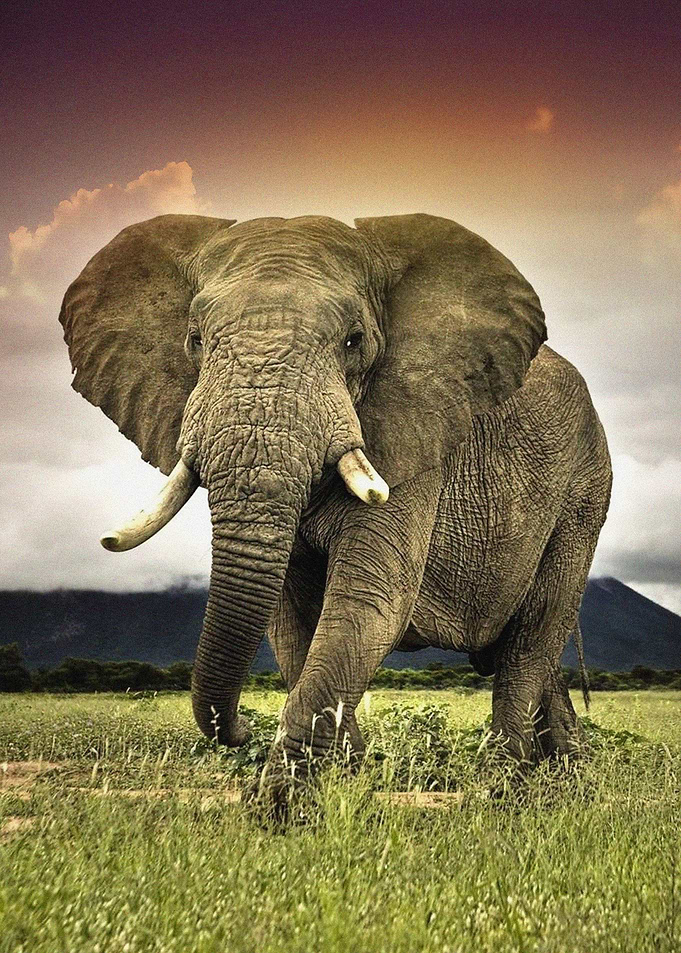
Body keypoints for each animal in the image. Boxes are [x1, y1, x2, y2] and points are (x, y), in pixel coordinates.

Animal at [59, 212, 612, 807]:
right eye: (195, 340)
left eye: (354, 341)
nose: (240, 729)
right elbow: (291, 620)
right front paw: (347, 781)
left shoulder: (413, 439)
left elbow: (367, 602)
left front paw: (280, 808)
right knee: (533, 654)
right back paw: (567, 776)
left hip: (584, 492)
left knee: (532, 639)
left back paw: (506, 788)